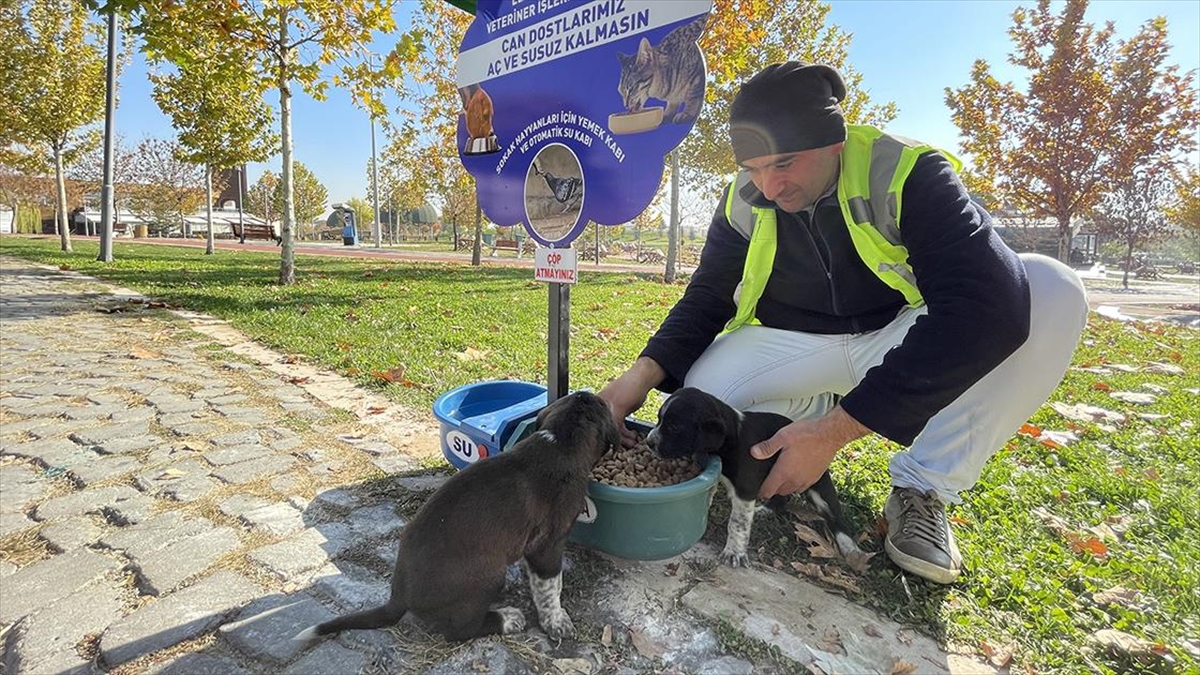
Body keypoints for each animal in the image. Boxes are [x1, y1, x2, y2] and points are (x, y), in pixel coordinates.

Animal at [295, 386, 624, 638]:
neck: (559, 441)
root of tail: (399, 596)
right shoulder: (547, 545)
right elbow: (550, 587)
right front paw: (556, 622)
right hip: (488, 573)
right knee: (460, 630)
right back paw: (508, 619)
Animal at [648, 386, 864, 564]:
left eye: (674, 427)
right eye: (659, 420)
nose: (649, 442)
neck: (732, 436)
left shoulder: (745, 490)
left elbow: (737, 523)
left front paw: (734, 553)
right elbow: (708, 495)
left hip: (817, 483)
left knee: (835, 514)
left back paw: (850, 547)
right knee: (782, 498)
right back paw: (764, 511)